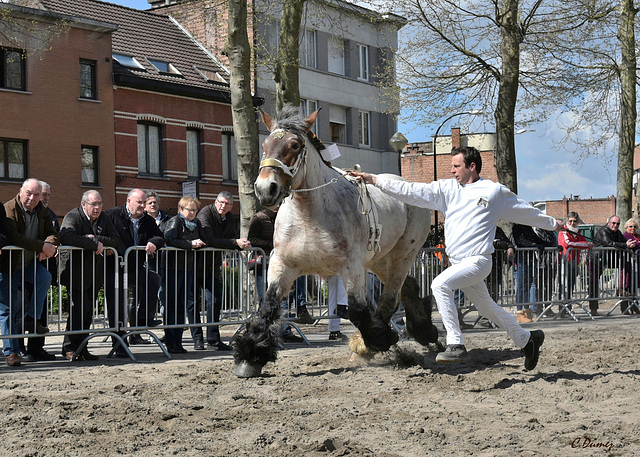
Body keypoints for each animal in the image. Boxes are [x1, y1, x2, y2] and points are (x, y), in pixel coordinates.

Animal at [232, 108, 438, 378]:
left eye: (295, 145)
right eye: (265, 145)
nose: (266, 189)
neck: (309, 216)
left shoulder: (351, 266)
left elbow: (357, 310)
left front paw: (381, 339)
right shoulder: (282, 264)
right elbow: (267, 306)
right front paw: (250, 356)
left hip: (404, 253)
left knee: (392, 298)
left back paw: (370, 345)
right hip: (380, 260)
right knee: (409, 287)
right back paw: (423, 330)